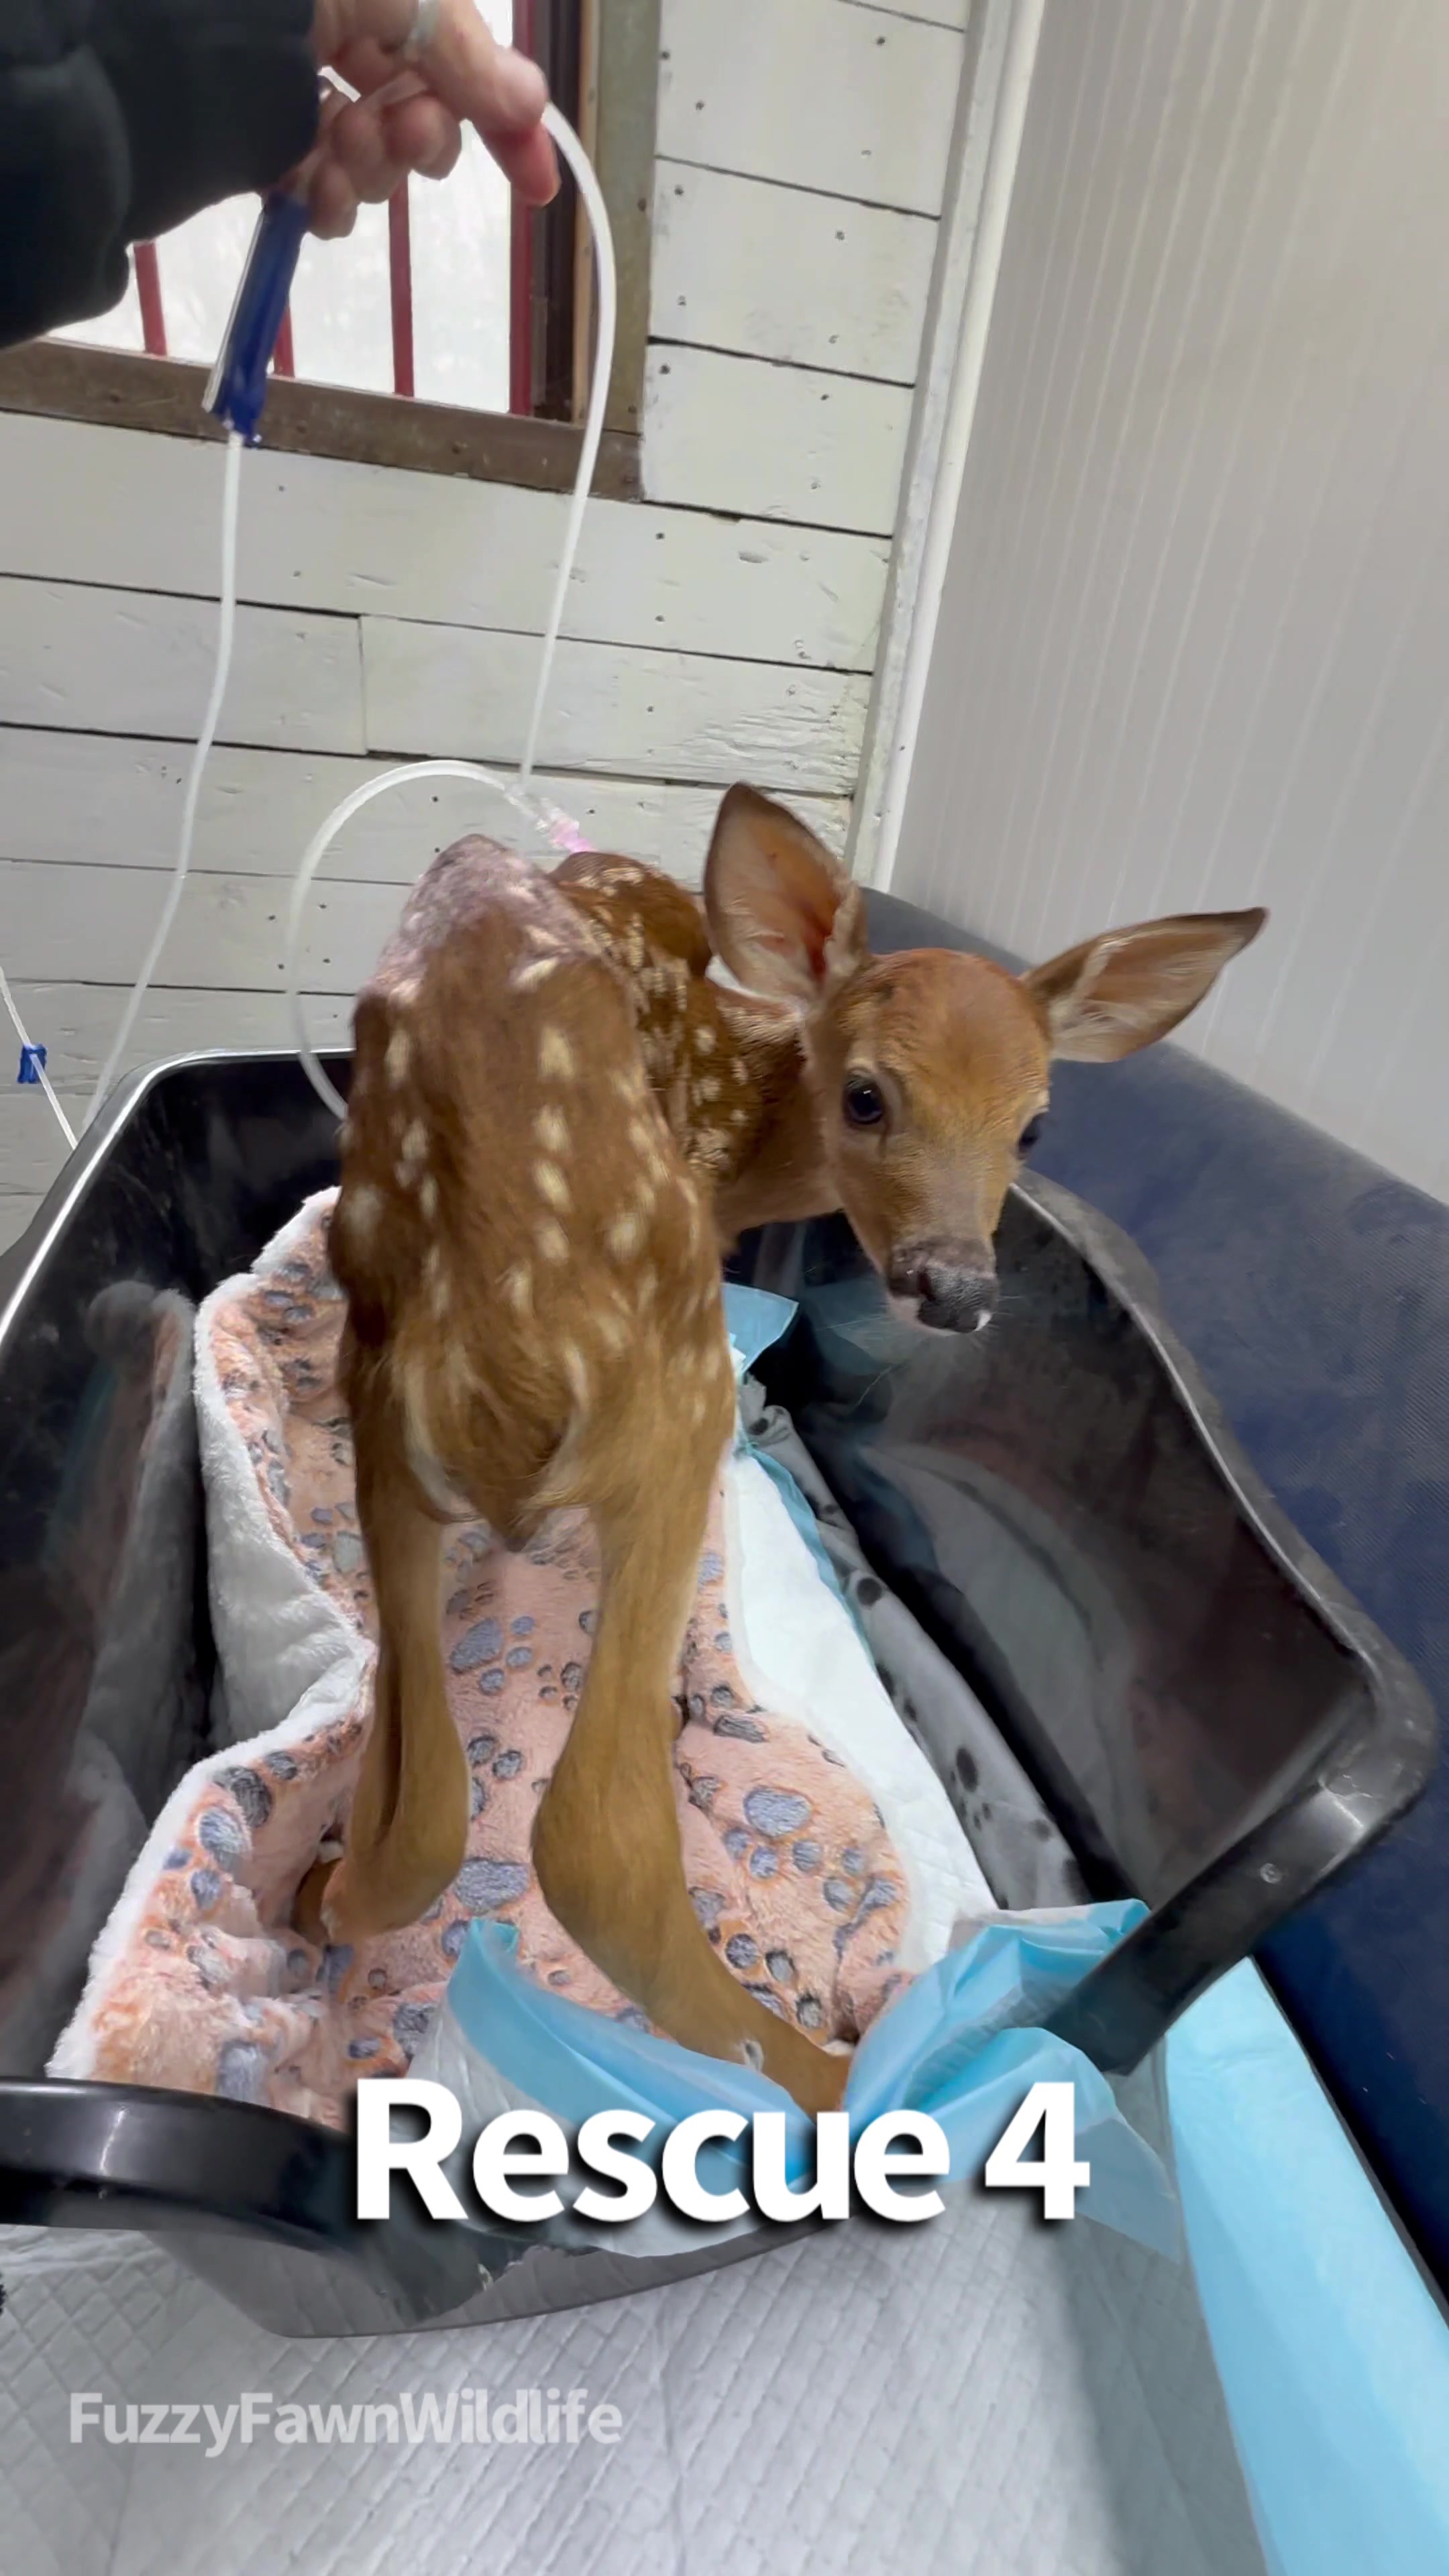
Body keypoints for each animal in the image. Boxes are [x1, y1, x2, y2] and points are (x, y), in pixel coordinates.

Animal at [315, 786, 1265, 2115]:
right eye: (867, 1095)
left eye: (1034, 1124)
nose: (954, 1286)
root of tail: (500, 1358)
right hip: (674, 1404)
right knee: (592, 1838)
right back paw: (845, 2074)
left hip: (383, 1430)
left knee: (424, 1810)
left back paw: (311, 1894)